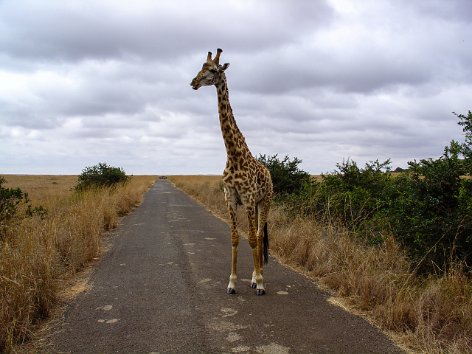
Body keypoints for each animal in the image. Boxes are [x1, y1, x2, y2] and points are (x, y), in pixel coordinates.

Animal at [191, 47, 274, 296]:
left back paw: (258, 278)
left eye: (213, 70)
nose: (193, 82)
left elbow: (253, 240)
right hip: (255, 204)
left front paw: (260, 283)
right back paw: (254, 277)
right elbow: (235, 238)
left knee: (259, 235)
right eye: (200, 67)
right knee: (257, 235)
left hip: (265, 201)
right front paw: (232, 283)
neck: (234, 155)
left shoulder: (247, 198)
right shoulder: (231, 198)